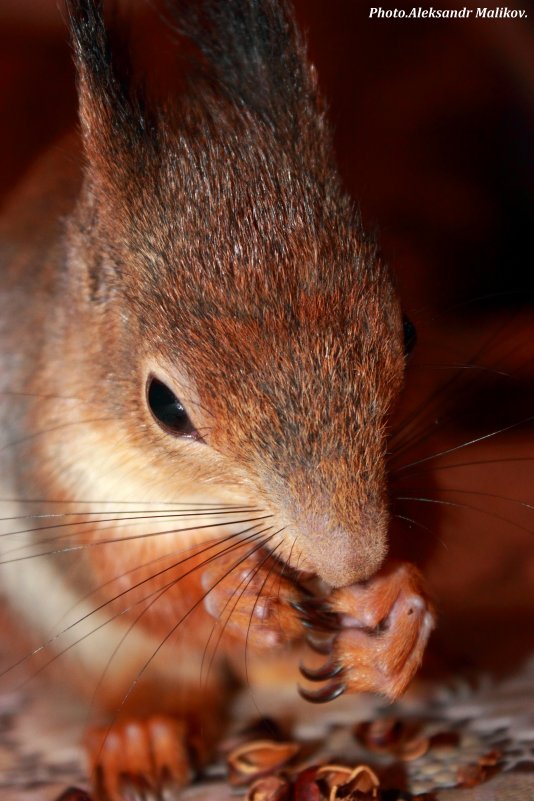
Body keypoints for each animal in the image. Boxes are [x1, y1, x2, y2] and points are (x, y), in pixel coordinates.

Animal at [0, 1, 440, 800]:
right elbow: (126, 577)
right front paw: (236, 591)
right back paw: (142, 736)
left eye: (407, 330)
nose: (348, 562)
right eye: (165, 405)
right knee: (155, 684)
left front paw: (397, 605)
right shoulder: (59, 470)